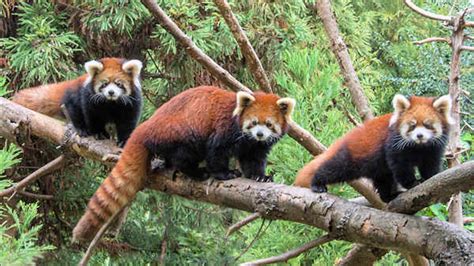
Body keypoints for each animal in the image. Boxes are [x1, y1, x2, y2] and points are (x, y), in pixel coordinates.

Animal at [11, 58, 143, 145]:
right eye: (104, 84)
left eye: (118, 84)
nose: (111, 92)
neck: (111, 103)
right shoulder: (89, 99)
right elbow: (93, 117)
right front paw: (99, 133)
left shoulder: (131, 103)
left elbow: (127, 122)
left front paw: (124, 140)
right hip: (74, 96)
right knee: (75, 110)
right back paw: (82, 129)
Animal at [72, 86, 294, 242]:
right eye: (254, 122)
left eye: (268, 124)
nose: (259, 134)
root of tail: (146, 126)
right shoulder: (225, 129)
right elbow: (216, 151)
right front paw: (224, 174)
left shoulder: (255, 146)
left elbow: (254, 160)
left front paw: (260, 176)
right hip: (181, 132)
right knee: (185, 154)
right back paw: (196, 171)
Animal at [294, 95, 454, 202]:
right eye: (412, 125)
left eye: (427, 125)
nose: (419, 135)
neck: (418, 146)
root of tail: (346, 138)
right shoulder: (394, 145)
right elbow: (400, 167)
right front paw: (411, 183)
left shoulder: (433, 148)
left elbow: (430, 164)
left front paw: (430, 177)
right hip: (353, 156)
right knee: (333, 168)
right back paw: (317, 183)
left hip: (377, 168)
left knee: (383, 180)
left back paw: (388, 196)